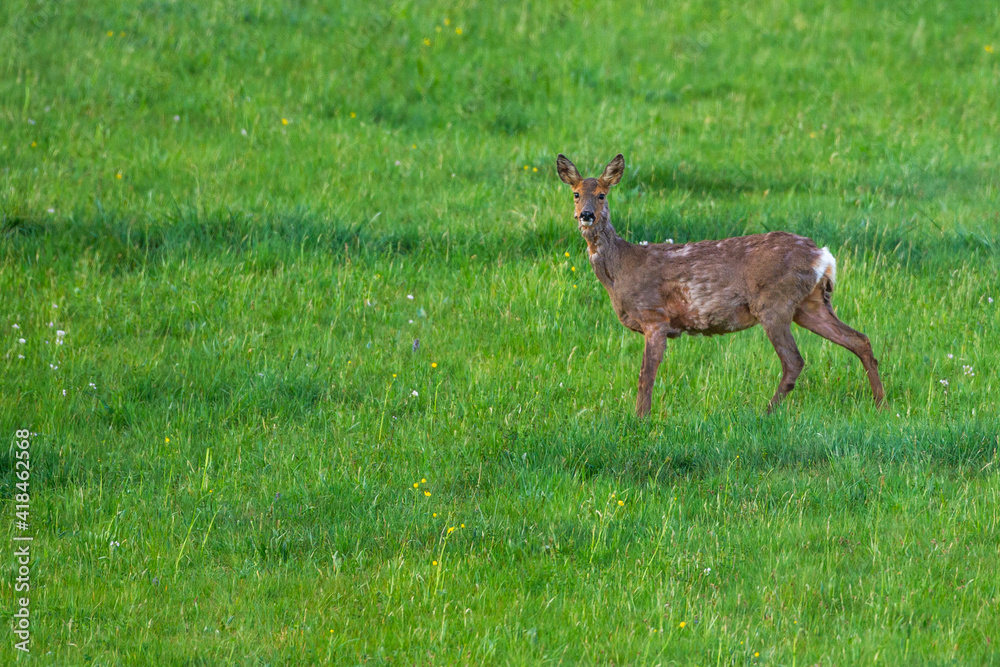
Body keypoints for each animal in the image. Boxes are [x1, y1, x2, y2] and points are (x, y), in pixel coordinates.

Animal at [560, 156, 888, 418]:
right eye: (576, 194)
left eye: (602, 195)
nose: (586, 215)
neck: (621, 269)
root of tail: (824, 256)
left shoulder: (654, 316)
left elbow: (645, 375)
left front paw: (641, 418)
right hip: (810, 304)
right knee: (859, 339)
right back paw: (881, 404)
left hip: (774, 303)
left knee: (794, 360)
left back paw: (766, 412)